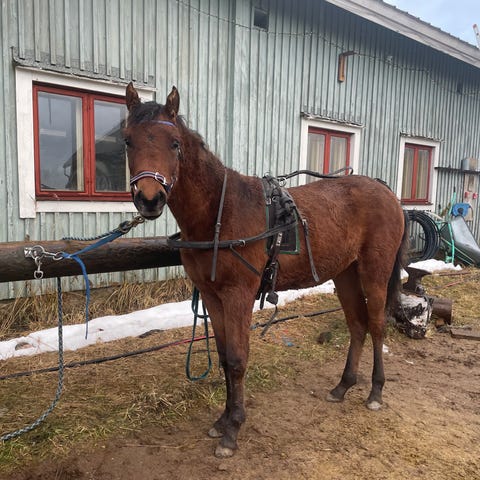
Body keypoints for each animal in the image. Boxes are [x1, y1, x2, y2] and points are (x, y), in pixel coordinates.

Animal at [123, 83, 408, 458]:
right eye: (128, 141)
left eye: (174, 144)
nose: (149, 199)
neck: (219, 212)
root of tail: (385, 191)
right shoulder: (213, 296)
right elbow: (224, 357)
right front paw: (222, 421)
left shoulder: (239, 295)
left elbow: (237, 360)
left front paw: (233, 429)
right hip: (344, 274)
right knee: (357, 326)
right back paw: (343, 386)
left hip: (374, 272)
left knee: (376, 326)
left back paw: (375, 391)